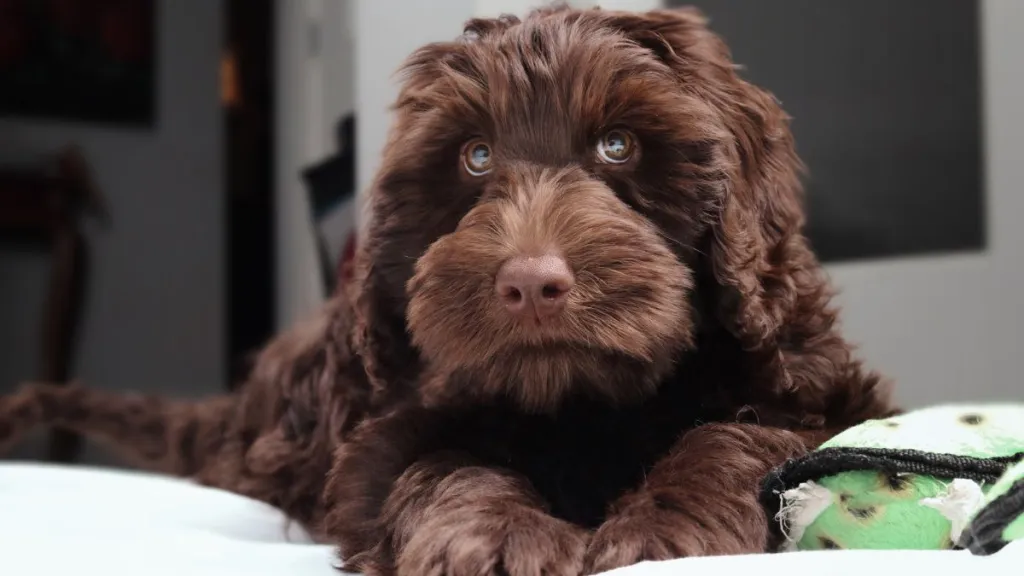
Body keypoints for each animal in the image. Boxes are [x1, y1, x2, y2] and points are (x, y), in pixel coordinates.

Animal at [0, 7, 897, 573]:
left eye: (618, 145)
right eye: (474, 157)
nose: (530, 284)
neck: (586, 404)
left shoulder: (818, 385)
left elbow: (742, 436)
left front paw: (667, 525)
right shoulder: (381, 434)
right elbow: (438, 462)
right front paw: (498, 537)